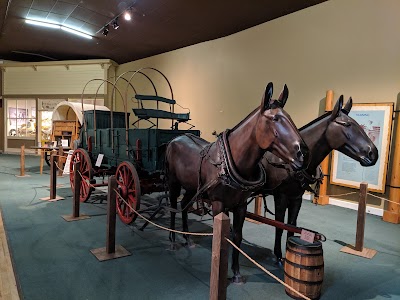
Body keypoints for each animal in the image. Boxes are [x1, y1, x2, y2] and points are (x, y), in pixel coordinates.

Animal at [165, 82, 310, 284]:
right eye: (275, 118)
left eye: (290, 118)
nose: (303, 154)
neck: (232, 163)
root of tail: (176, 138)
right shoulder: (218, 203)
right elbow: (221, 236)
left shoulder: (240, 205)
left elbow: (237, 236)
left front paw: (235, 272)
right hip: (173, 182)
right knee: (173, 206)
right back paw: (172, 239)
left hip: (192, 187)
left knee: (185, 205)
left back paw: (187, 239)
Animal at [260, 95, 378, 264]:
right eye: (347, 124)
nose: (373, 153)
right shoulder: (281, 196)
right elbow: (279, 225)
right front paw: (277, 255)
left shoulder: (296, 197)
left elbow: (291, 225)